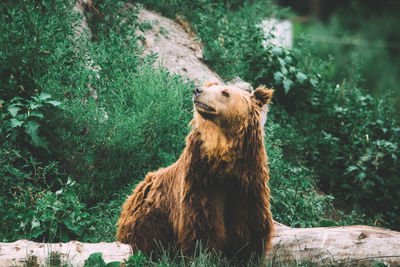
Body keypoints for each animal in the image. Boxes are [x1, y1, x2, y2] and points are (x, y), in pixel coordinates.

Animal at [115, 82, 276, 264]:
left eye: (225, 93)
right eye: (211, 86)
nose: (197, 90)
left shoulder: (248, 181)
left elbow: (249, 224)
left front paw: (246, 255)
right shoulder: (200, 179)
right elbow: (202, 224)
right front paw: (204, 255)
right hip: (150, 216)